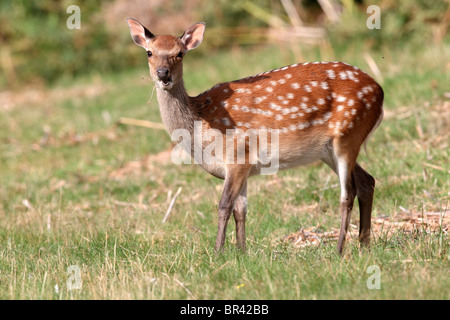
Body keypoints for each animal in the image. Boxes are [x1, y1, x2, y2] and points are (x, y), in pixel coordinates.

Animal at [125, 18, 384, 255]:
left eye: (179, 53)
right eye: (149, 52)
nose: (163, 73)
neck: (201, 127)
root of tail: (380, 93)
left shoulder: (239, 155)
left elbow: (224, 205)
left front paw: (218, 252)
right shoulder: (244, 166)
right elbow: (241, 210)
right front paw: (242, 253)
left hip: (348, 133)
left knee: (346, 194)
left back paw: (339, 250)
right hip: (327, 150)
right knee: (367, 181)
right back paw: (364, 245)